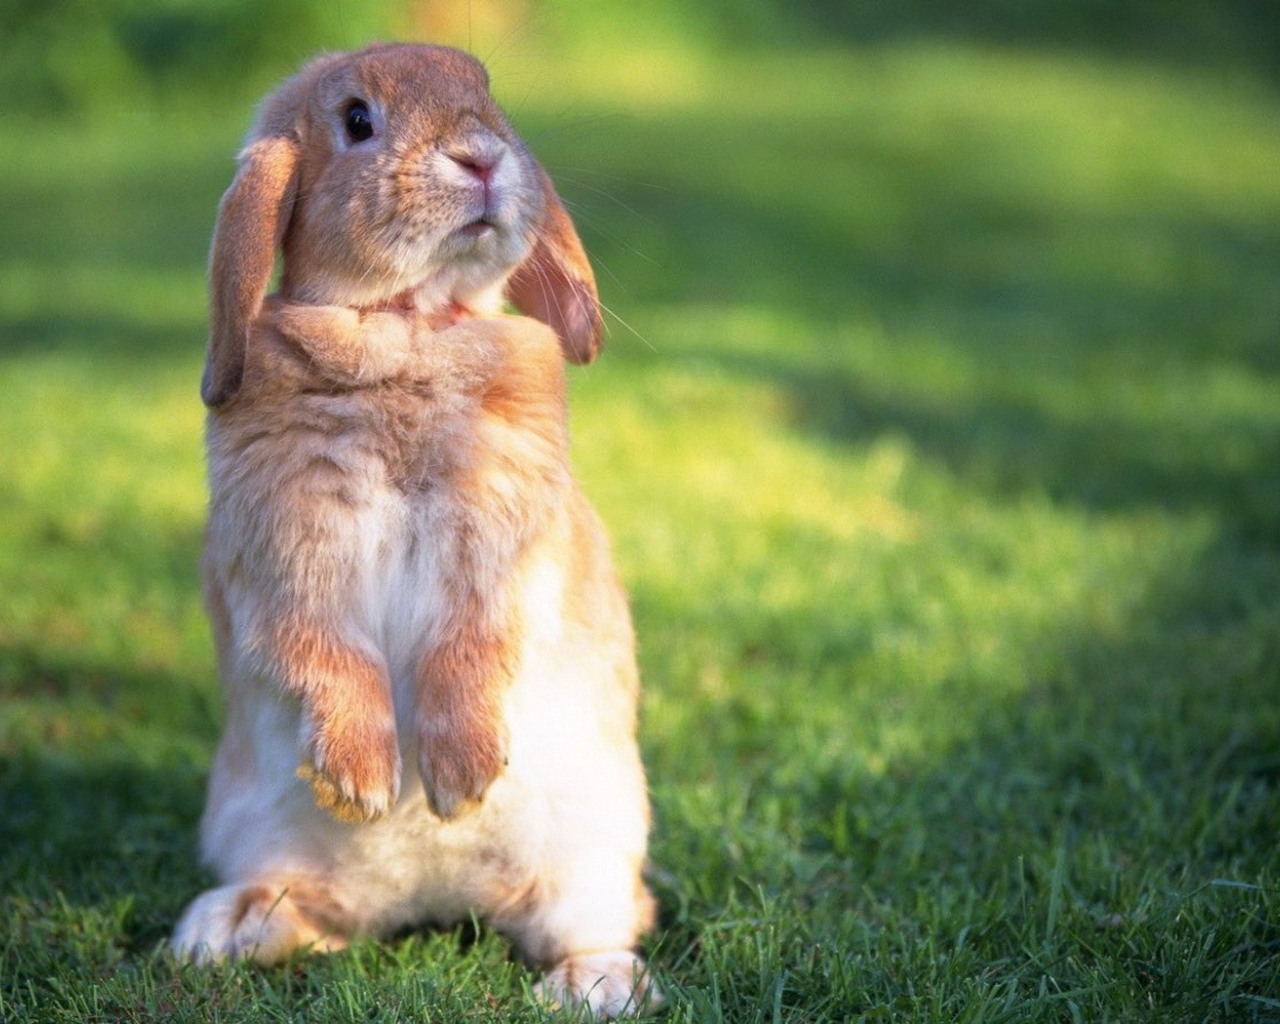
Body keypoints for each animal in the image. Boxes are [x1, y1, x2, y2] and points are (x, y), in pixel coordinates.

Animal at [171, 41, 665, 1013]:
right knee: (314, 914)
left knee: (603, 920)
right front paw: (363, 783)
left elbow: (468, 647)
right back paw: (223, 929)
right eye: (357, 120)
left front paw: (463, 779)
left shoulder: (501, 551)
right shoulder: (287, 558)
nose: (482, 157)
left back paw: (591, 987)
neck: (406, 326)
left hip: (592, 853)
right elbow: (327, 652)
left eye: (488, 94)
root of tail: (432, 901)